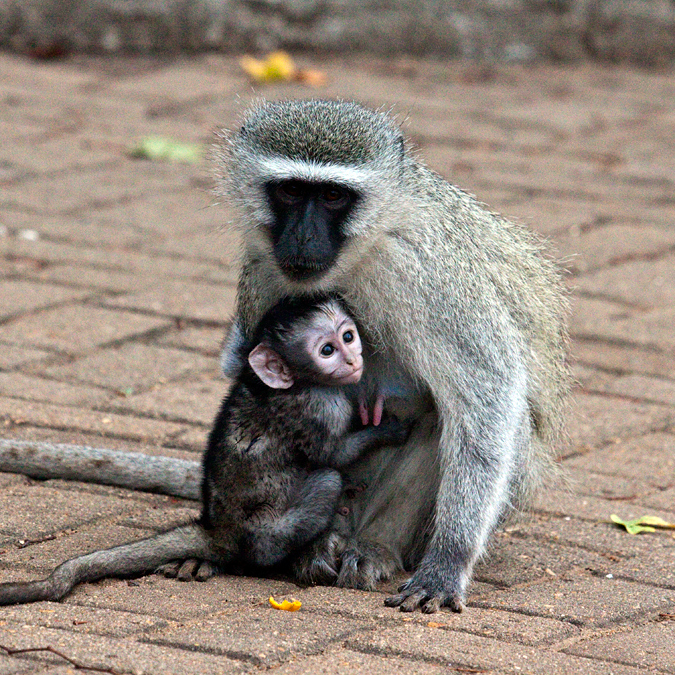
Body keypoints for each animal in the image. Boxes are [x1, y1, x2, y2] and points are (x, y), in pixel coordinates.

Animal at [0, 294, 406, 608]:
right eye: (327, 350)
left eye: (348, 336)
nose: (352, 360)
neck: (298, 383)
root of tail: (217, 529)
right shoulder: (319, 409)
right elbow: (333, 456)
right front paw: (388, 428)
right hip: (268, 533)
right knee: (326, 481)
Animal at [215, 99, 572, 612]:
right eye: (290, 191)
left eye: (332, 197)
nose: (303, 238)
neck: (363, 252)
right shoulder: (262, 270)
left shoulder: (426, 273)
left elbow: (489, 393)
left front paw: (449, 561)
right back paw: (321, 544)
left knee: (449, 421)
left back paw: (374, 547)